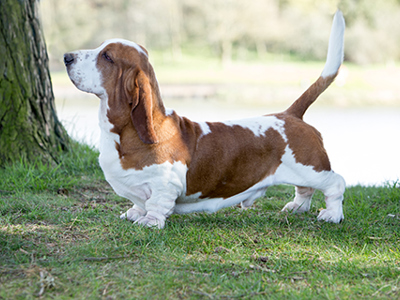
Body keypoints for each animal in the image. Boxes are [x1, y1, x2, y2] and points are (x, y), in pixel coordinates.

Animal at [64, 10, 346, 229]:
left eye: (107, 57)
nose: (66, 57)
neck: (123, 135)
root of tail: (290, 115)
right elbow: (138, 202)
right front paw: (134, 213)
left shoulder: (165, 184)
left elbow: (156, 203)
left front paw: (149, 221)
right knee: (304, 190)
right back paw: (297, 207)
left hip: (311, 169)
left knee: (336, 183)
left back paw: (332, 215)